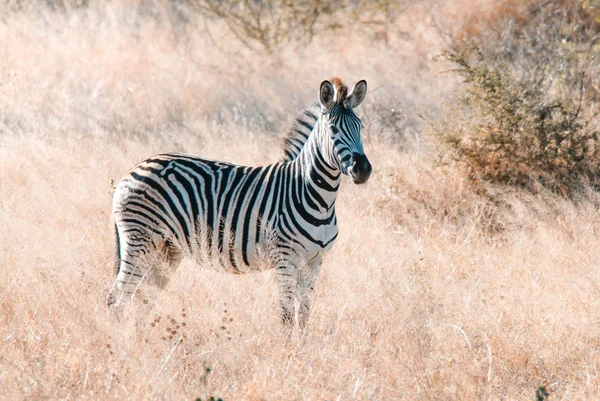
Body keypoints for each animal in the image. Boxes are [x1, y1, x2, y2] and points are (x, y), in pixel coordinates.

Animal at [107, 76, 370, 326]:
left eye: (360, 127)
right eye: (333, 129)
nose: (363, 170)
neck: (316, 197)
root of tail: (134, 169)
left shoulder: (315, 261)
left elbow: (303, 315)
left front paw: (303, 344)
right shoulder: (286, 259)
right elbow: (287, 315)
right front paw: (286, 345)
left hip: (166, 249)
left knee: (142, 300)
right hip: (140, 241)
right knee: (116, 300)